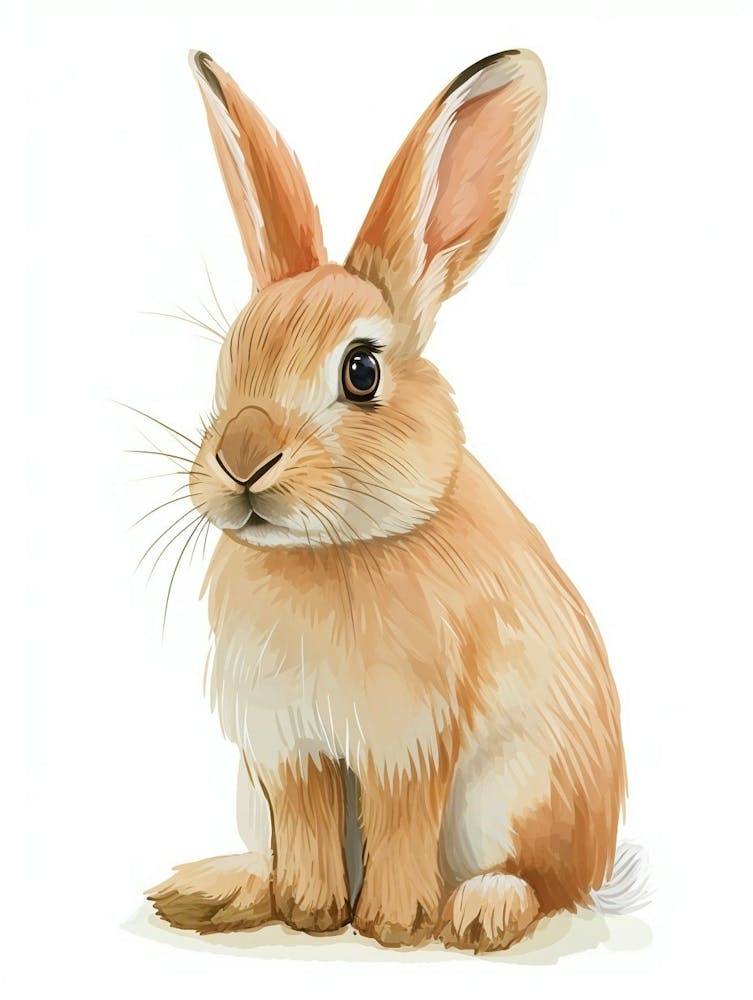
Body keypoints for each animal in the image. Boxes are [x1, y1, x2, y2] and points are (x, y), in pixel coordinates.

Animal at [147, 48, 646, 953]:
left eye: (361, 371)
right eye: (229, 359)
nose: (241, 461)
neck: (332, 550)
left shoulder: (408, 740)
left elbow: (403, 824)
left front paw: (392, 924)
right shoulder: (287, 746)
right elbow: (306, 829)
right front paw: (311, 915)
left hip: (522, 792)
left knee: (542, 884)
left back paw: (481, 910)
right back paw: (215, 889)